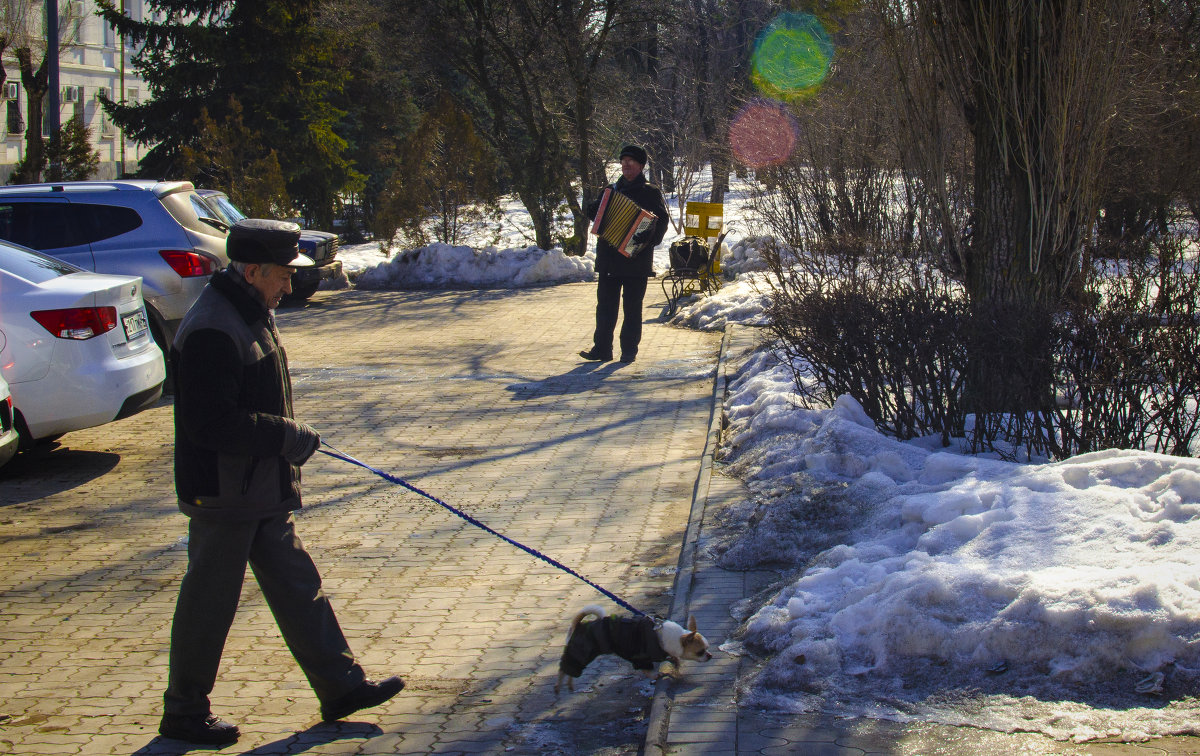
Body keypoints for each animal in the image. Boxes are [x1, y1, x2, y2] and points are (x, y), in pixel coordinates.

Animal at [554, 604, 710, 691]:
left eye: (707, 648)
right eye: (700, 652)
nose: (710, 655)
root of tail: (580, 625)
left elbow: (672, 657)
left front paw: (674, 661)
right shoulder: (641, 660)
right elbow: (648, 671)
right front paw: (656, 675)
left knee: (569, 671)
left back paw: (569, 685)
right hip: (581, 654)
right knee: (564, 668)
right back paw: (559, 685)